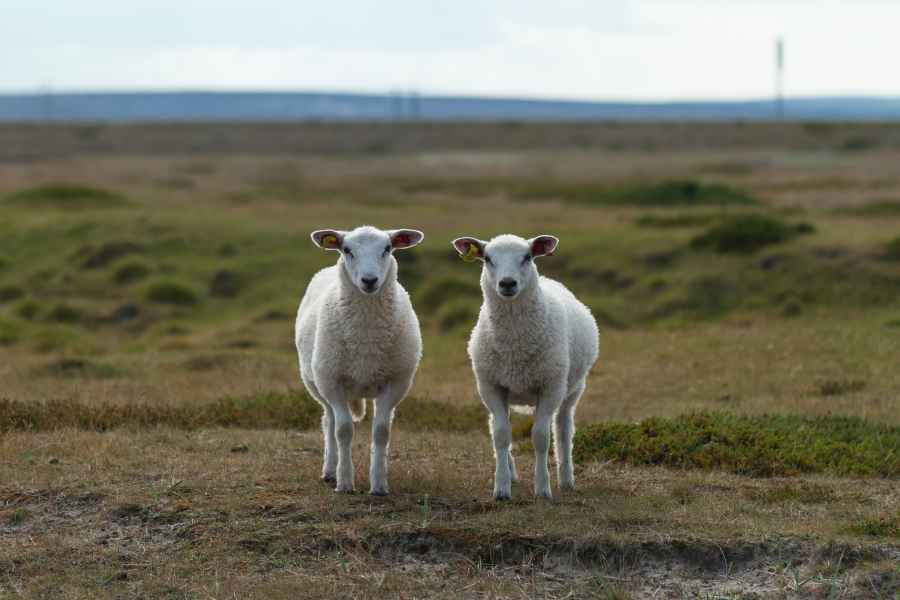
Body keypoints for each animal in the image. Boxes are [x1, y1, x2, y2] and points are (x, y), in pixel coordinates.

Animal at [296, 225, 424, 495]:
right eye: (347, 250)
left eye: (387, 248)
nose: (369, 280)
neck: (366, 335)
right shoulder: (332, 382)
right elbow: (343, 431)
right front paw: (345, 481)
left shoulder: (395, 383)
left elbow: (381, 432)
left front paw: (379, 484)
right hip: (319, 384)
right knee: (329, 422)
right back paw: (330, 470)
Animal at [452, 234, 599, 500]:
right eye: (487, 258)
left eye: (527, 256)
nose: (507, 283)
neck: (515, 344)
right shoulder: (491, 386)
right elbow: (501, 435)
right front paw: (501, 488)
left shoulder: (550, 387)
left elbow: (541, 437)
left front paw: (542, 488)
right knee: (495, 426)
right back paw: (511, 473)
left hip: (572, 388)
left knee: (564, 429)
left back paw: (566, 478)